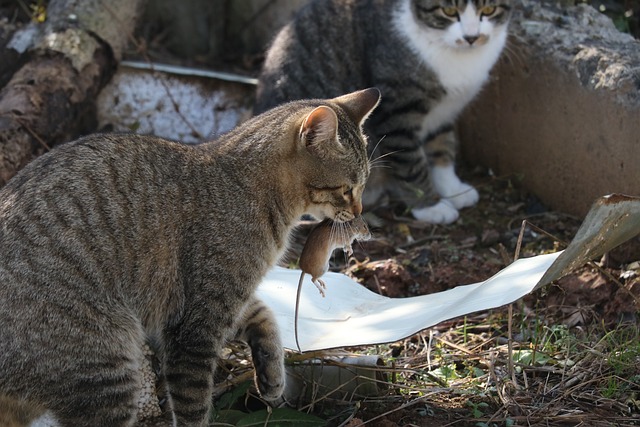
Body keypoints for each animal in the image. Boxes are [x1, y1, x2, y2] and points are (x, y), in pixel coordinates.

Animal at [0, 88, 380, 426]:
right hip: (105, 368)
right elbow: (193, 404)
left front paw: (273, 377)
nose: (360, 212)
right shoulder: (196, 324)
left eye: (364, 184)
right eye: (347, 189)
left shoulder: (219, 301)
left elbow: (264, 315)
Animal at [258, 0, 512, 224]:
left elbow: (442, 149)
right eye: (448, 11)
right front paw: (431, 206)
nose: (471, 37)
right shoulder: (397, 112)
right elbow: (411, 162)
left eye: (489, 10)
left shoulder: (444, 112)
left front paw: (452, 189)